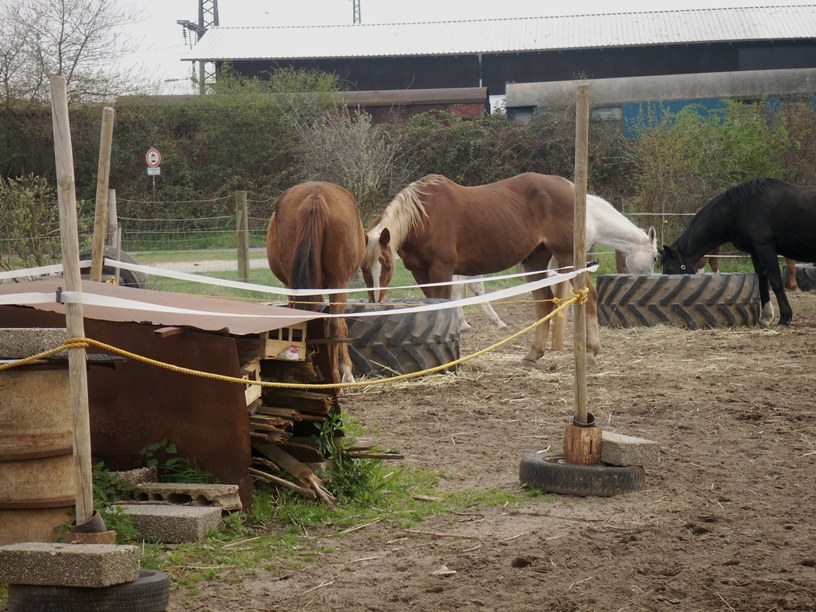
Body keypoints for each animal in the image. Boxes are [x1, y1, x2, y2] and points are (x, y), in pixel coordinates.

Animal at [266, 179, 364, 384]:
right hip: (338, 282)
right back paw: (335, 379)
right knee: (335, 326)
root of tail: (315, 196)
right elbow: (342, 326)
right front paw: (347, 371)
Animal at [664, 178, 816, 326]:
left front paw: (784, 317)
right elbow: (762, 281)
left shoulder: (765, 247)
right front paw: (766, 317)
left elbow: (776, 282)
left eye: (670, 269)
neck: (739, 210)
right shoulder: (755, 252)